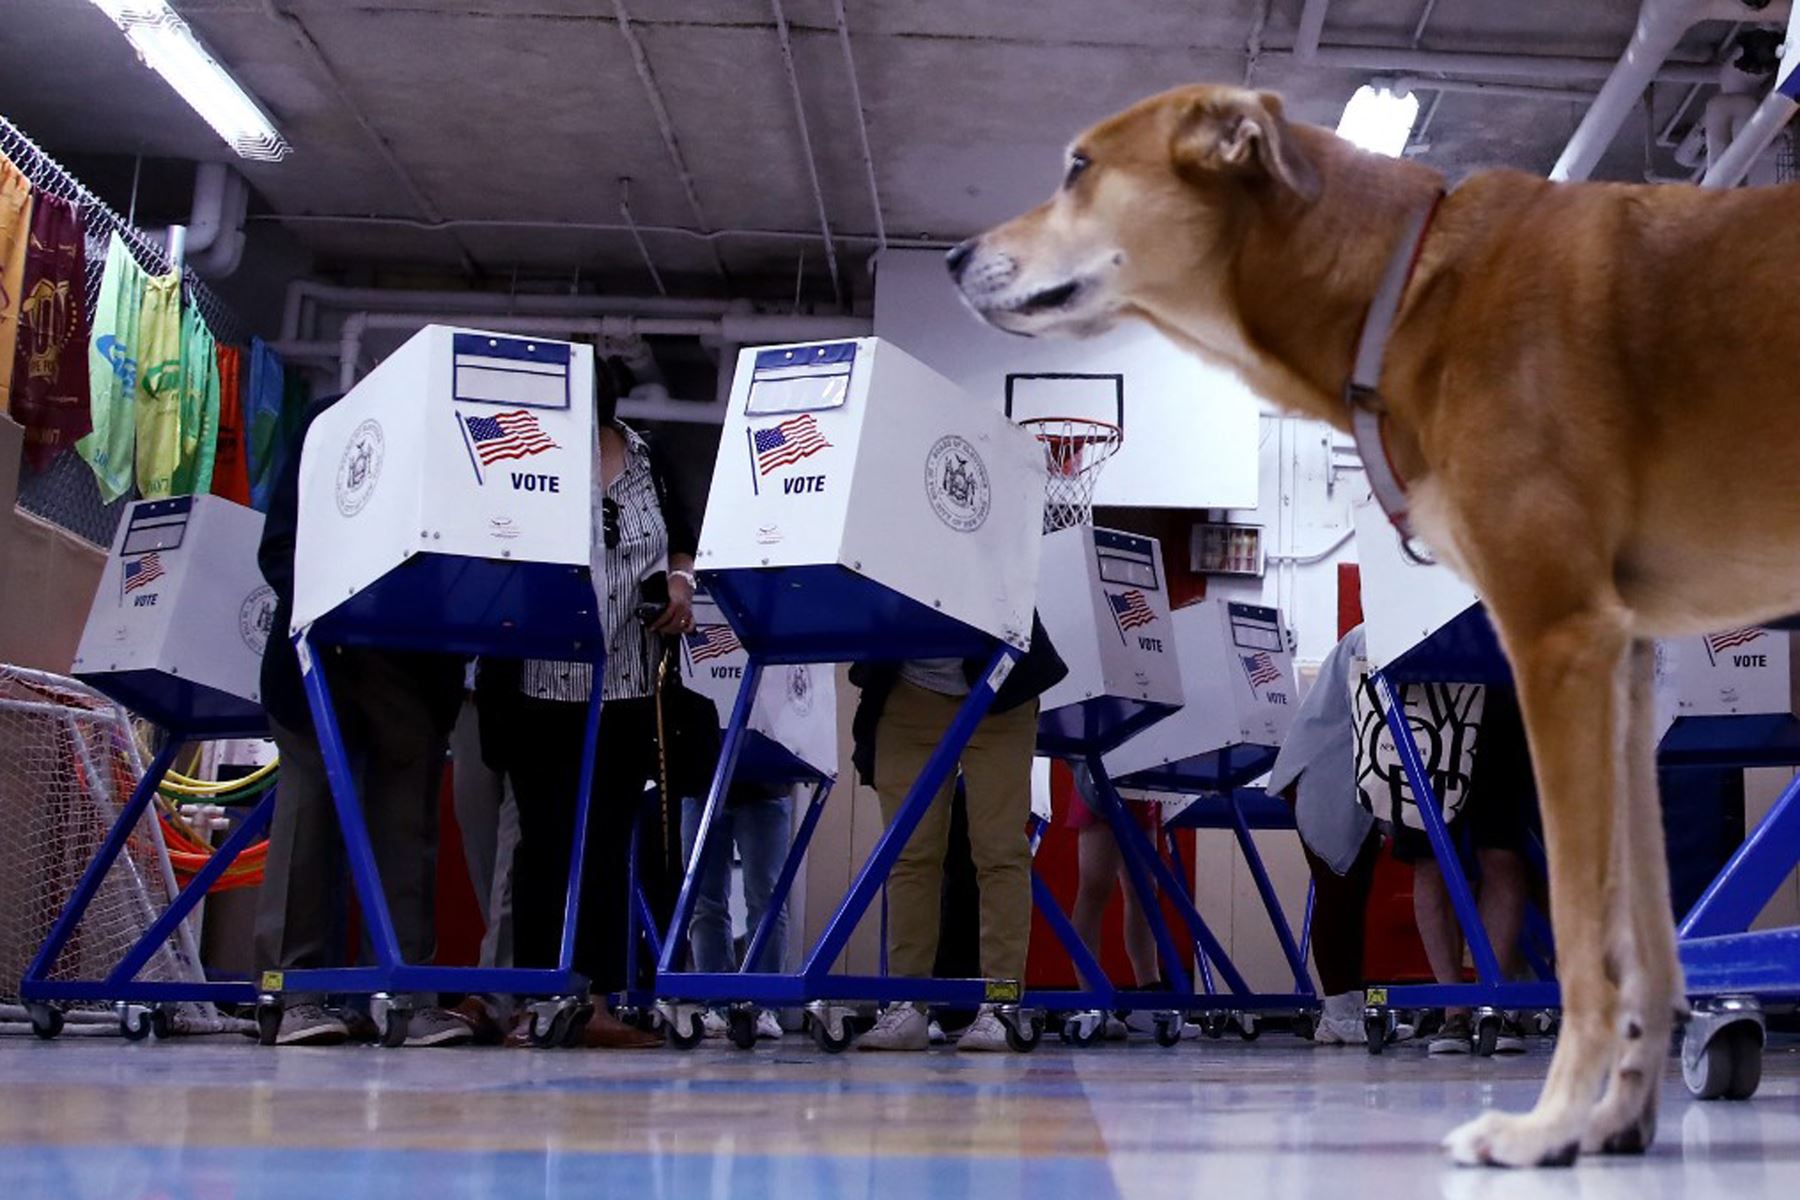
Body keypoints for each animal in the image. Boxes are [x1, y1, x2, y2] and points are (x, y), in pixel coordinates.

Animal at [950, 86, 1800, 1173]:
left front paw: (1550, 1122)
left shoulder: (1557, 637)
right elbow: (1644, 940)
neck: (1407, 286)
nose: (952, 257)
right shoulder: (1626, 669)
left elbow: (1580, 932)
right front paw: (1616, 1115)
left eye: (1079, 168)